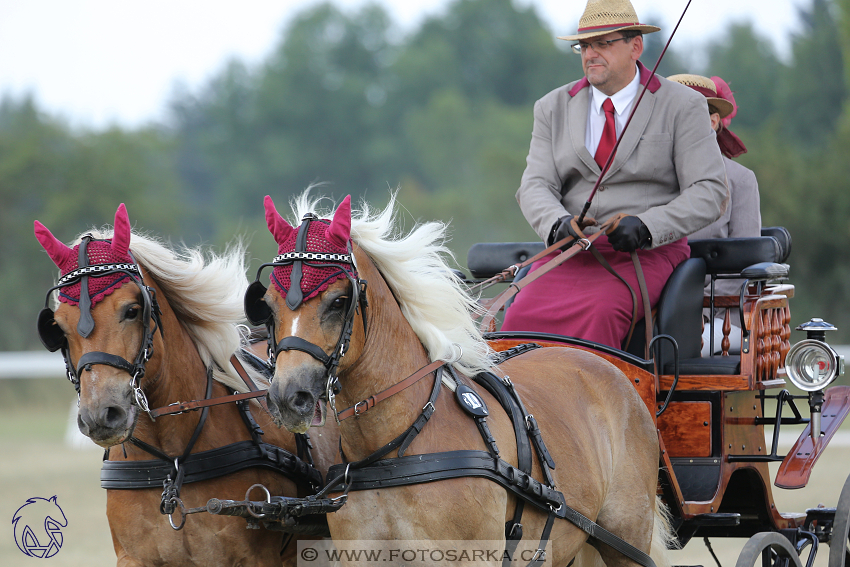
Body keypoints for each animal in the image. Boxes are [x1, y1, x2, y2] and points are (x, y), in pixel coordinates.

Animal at [248, 193, 672, 564]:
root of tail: (599, 362)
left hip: (626, 542)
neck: (395, 447)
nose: (288, 397)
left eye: (338, 301)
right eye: (266, 306)